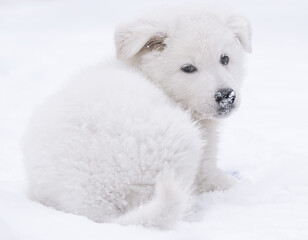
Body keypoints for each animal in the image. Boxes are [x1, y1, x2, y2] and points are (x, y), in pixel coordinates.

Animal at [23, 5, 250, 229]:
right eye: (188, 68)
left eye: (225, 59)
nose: (226, 96)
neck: (152, 78)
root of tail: (93, 202)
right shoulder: (205, 167)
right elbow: (225, 182)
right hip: (182, 142)